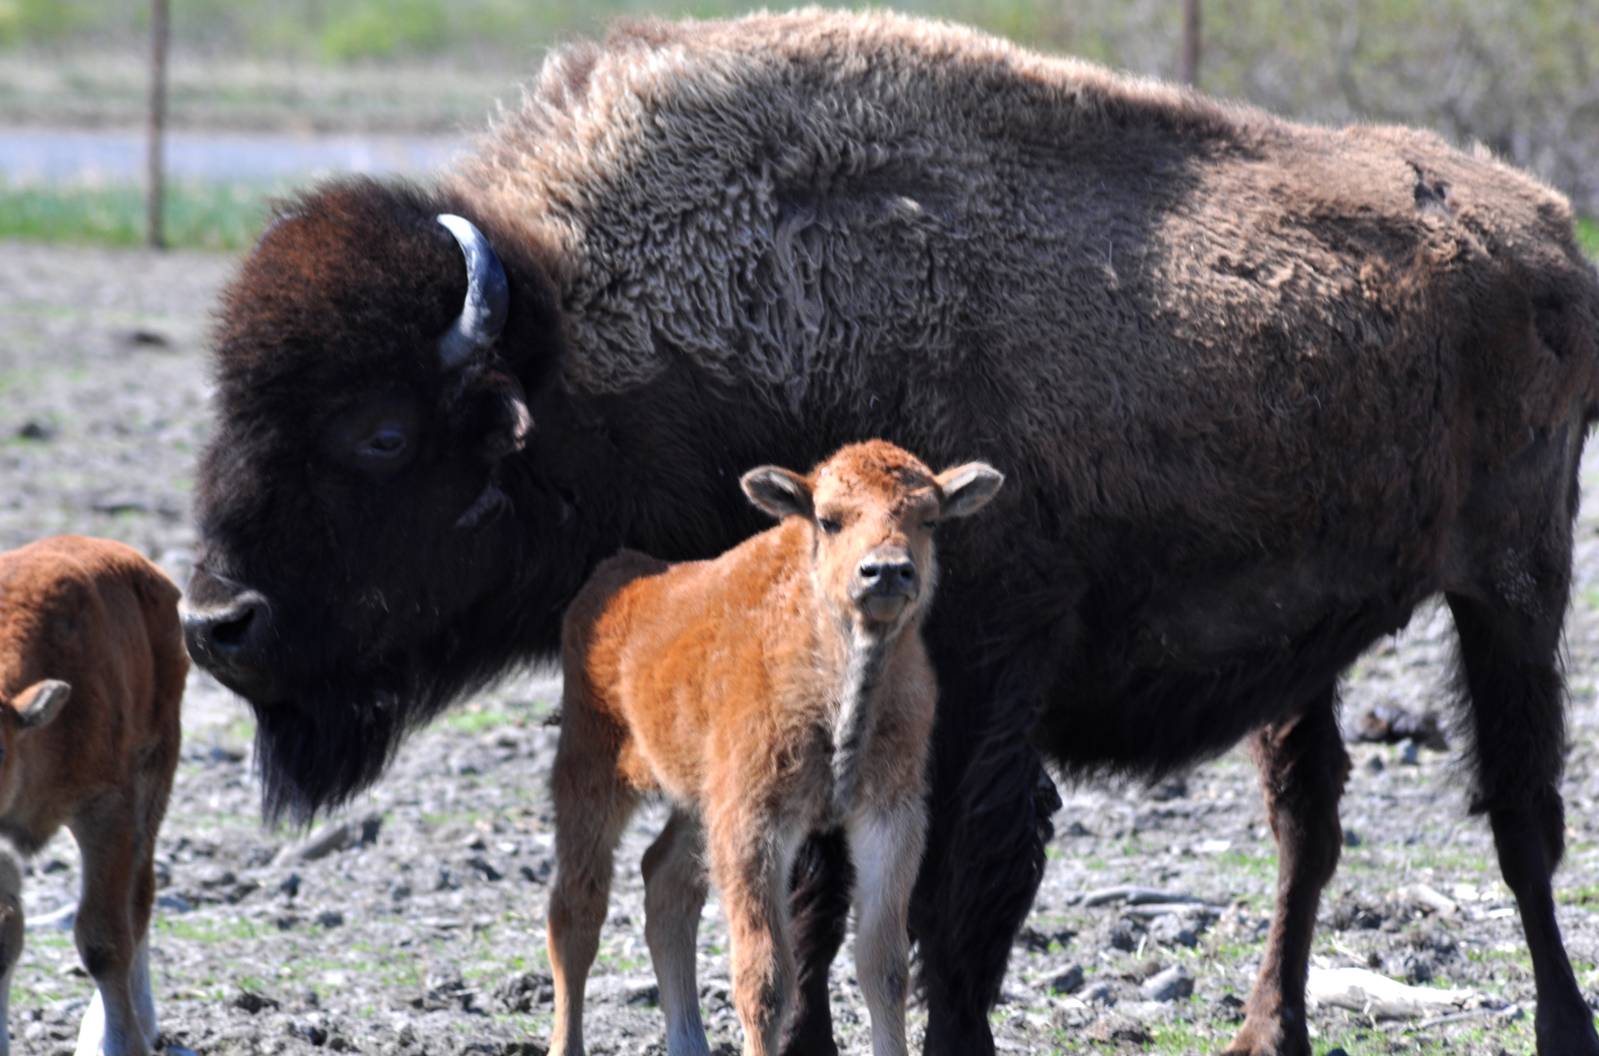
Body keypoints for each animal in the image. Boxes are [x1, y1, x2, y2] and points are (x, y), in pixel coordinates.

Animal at [180, 11, 1599, 1056]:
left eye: (379, 433)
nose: (215, 622)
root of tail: (1537, 219)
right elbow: (817, 907)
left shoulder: (984, 691)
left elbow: (953, 907)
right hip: (1310, 650)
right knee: (1310, 821)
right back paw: (1270, 1034)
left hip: (1514, 580)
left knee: (1522, 812)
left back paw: (1563, 1024)